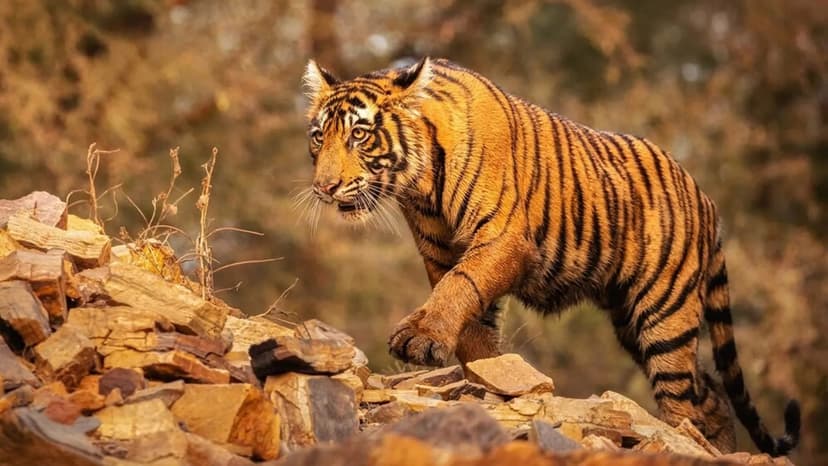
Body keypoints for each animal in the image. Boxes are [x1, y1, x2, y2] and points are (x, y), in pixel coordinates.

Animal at [301, 57, 800, 456]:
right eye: (318, 138)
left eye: (360, 135)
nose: (324, 187)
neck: (420, 184)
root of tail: (706, 199)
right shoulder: (439, 251)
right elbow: (470, 319)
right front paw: (488, 376)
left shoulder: (502, 237)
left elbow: (461, 285)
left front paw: (420, 338)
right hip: (631, 320)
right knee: (710, 393)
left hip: (665, 314)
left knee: (684, 401)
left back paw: (690, 442)